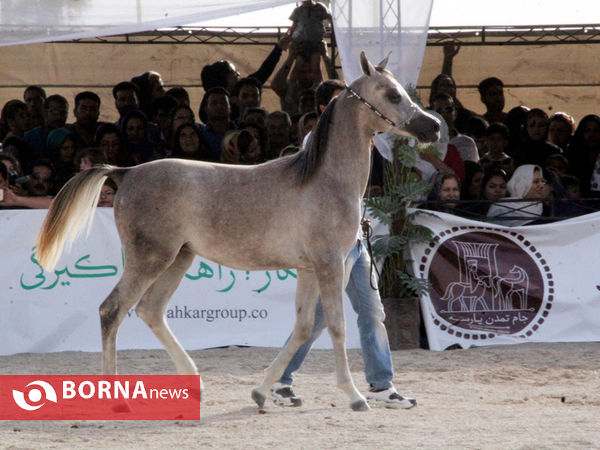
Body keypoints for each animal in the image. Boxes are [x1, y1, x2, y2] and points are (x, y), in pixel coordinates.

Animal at [35, 52, 438, 412]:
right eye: (392, 94)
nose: (432, 126)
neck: (324, 181)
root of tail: (126, 172)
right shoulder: (329, 265)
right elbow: (337, 327)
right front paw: (354, 396)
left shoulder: (309, 269)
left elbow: (304, 327)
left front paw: (261, 393)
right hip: (150, 259)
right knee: (112, 310)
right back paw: (116, 401)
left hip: (179, 258)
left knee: (151, 311)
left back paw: (193, 384)